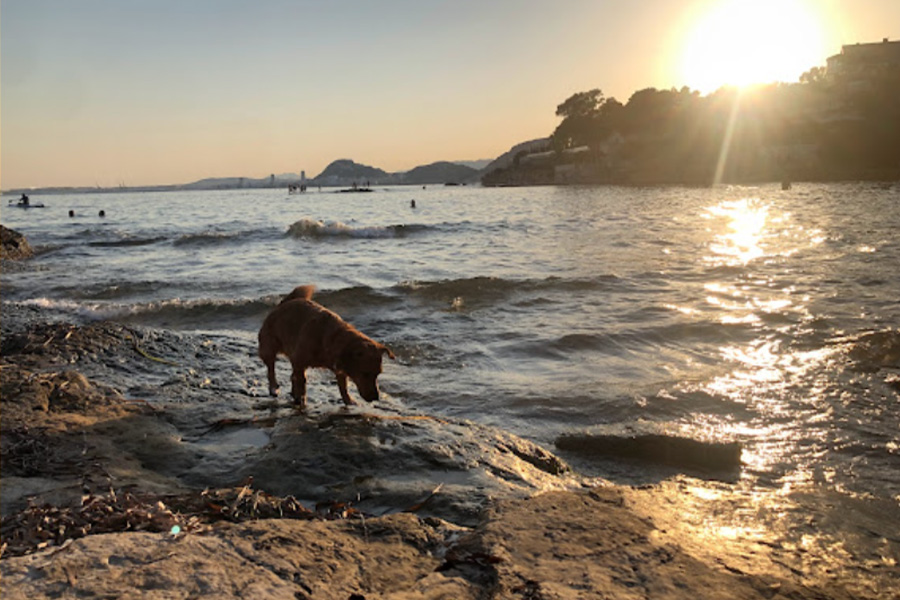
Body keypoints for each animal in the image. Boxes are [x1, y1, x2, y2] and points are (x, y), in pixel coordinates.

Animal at [255, 286, 392, 408]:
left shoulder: (340, 370)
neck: (331, 338)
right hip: (268, 349)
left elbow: (343, 386)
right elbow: (301, 381)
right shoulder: (298, 360)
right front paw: (302, 397)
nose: (376, 397)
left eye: (378, 374)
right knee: (271, 369)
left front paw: (348, 400)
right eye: (365, 373)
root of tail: (282, 304)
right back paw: (274, 388)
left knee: (291, 376)